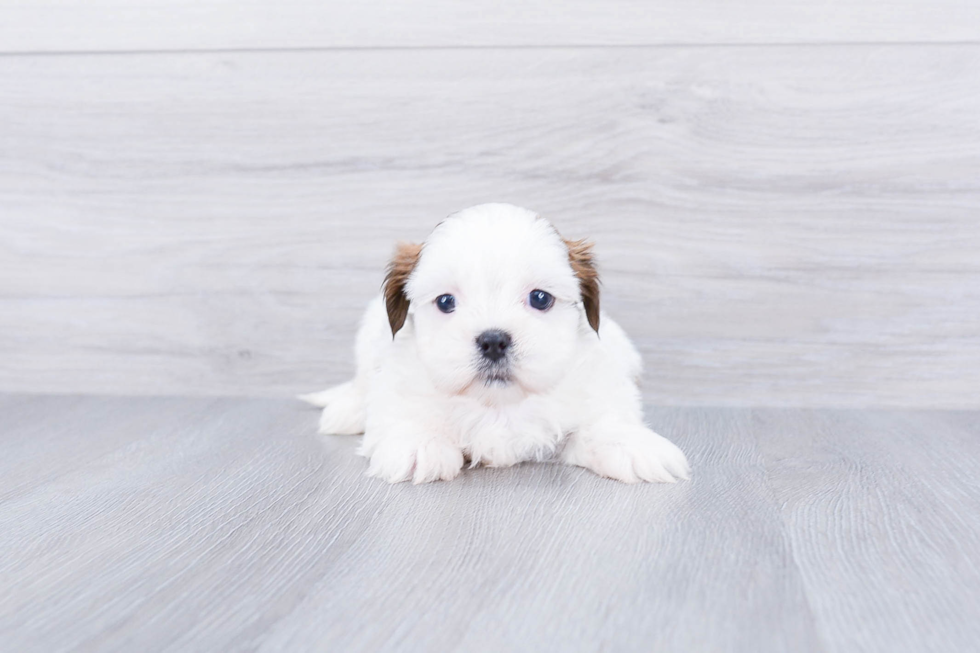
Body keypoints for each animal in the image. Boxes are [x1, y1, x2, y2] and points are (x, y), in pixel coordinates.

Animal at [298, 204, 688, 484]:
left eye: (540, 298)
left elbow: (603, 420)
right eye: (445, 302)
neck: (498, 404)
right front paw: (419, 444)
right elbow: (399, 411)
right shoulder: (395, 377)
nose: (494, 341)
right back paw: (347, 411)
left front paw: (633, 444)